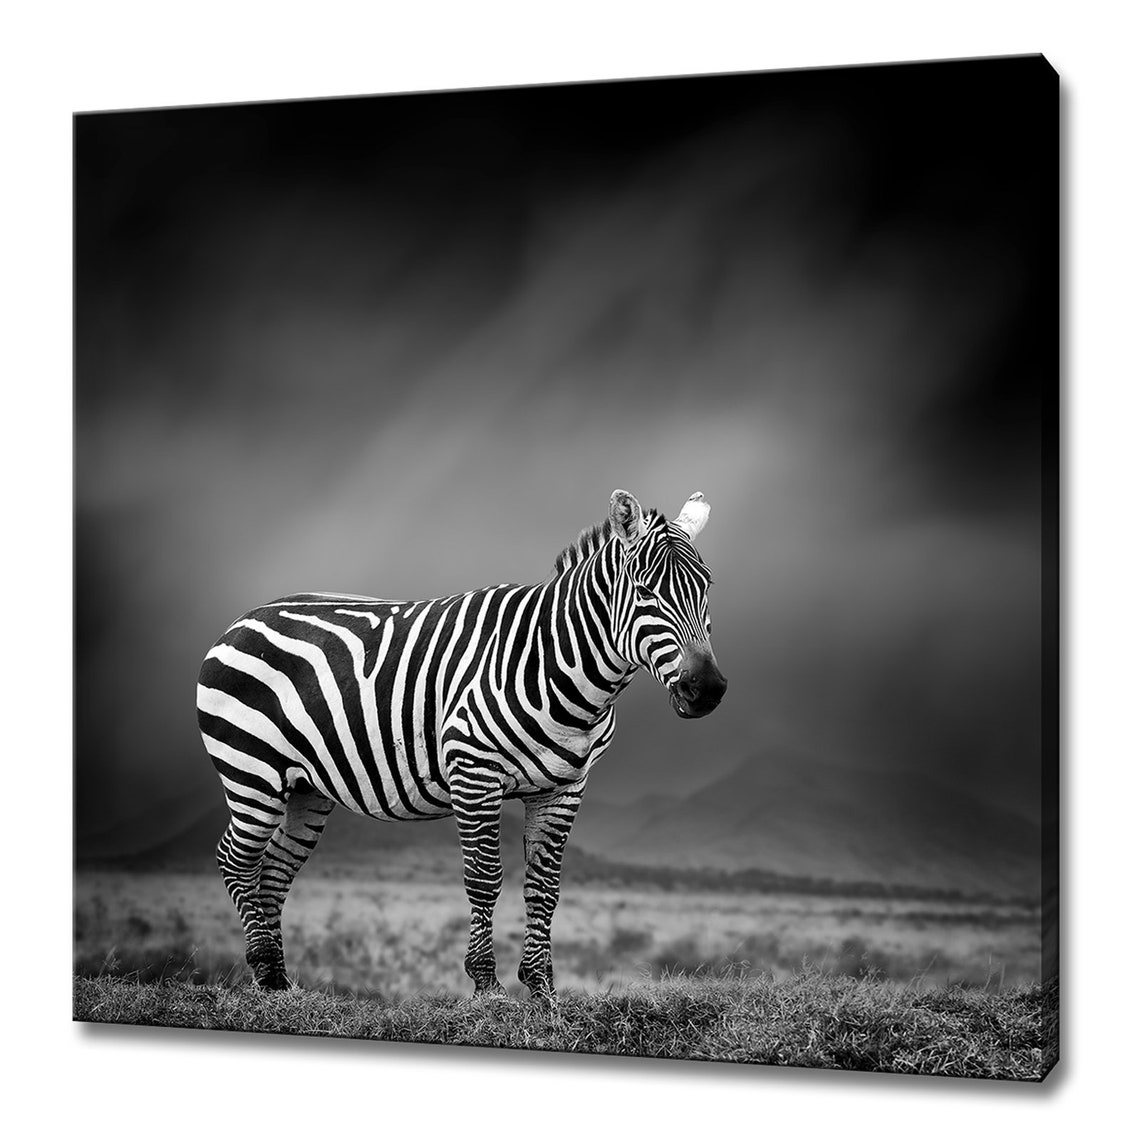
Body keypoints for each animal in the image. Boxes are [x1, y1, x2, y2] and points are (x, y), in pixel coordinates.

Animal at [197, 488, 727, 996]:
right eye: (645, 591)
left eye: (706, 588)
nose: (707, 690)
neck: (559, 669)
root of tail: (246, 617)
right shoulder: (474, 774)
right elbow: (485, 878)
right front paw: (487, 984)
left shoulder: (564, 789)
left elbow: (544, 887)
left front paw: (542, 989)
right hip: (253, 772)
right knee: (235, 859)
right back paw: (263, 966)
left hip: (306, 787)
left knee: (273, 872)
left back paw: (277, 983)